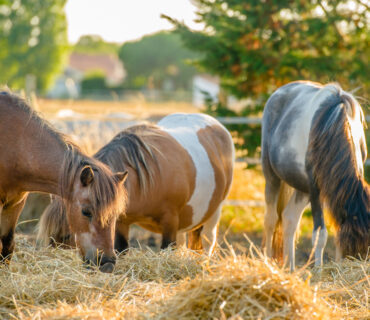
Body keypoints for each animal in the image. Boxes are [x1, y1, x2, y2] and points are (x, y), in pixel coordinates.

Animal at [0, 92, 127, 272]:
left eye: (116, 214)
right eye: (86, 212)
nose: (107, 263)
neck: (15, 145)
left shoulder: (15, 204)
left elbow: (7, 246)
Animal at [38, 112, 234, 255]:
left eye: (67, 235)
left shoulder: (170, 221)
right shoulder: (121, 222)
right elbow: (122, 249)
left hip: (213, 214)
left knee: (207, 244)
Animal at [262, 81, 368, 272]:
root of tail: (279, 92)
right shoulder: (316, 189)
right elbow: (320, 234)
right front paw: (319, 271)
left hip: (301, 189)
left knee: (289, 218)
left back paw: (290, 268)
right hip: (272, 176)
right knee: (271, 220)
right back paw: (267, 262)